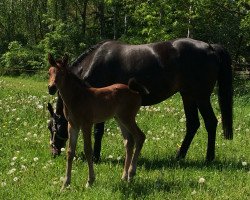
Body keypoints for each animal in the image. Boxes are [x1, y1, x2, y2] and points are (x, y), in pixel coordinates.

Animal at [47, 53, 145, 191]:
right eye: (49, 72)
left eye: (62, 73)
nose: (51, 88)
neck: (77, 97)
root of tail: (135, 92)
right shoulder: (73, 125)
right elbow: (70, 151)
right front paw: (65, 184)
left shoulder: (86, 124)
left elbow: (88, 150)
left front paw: (90, 181)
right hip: (120, 119)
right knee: (129, 142)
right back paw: (124, 177)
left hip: (128, 118)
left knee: (140, 137)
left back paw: (131, 174)